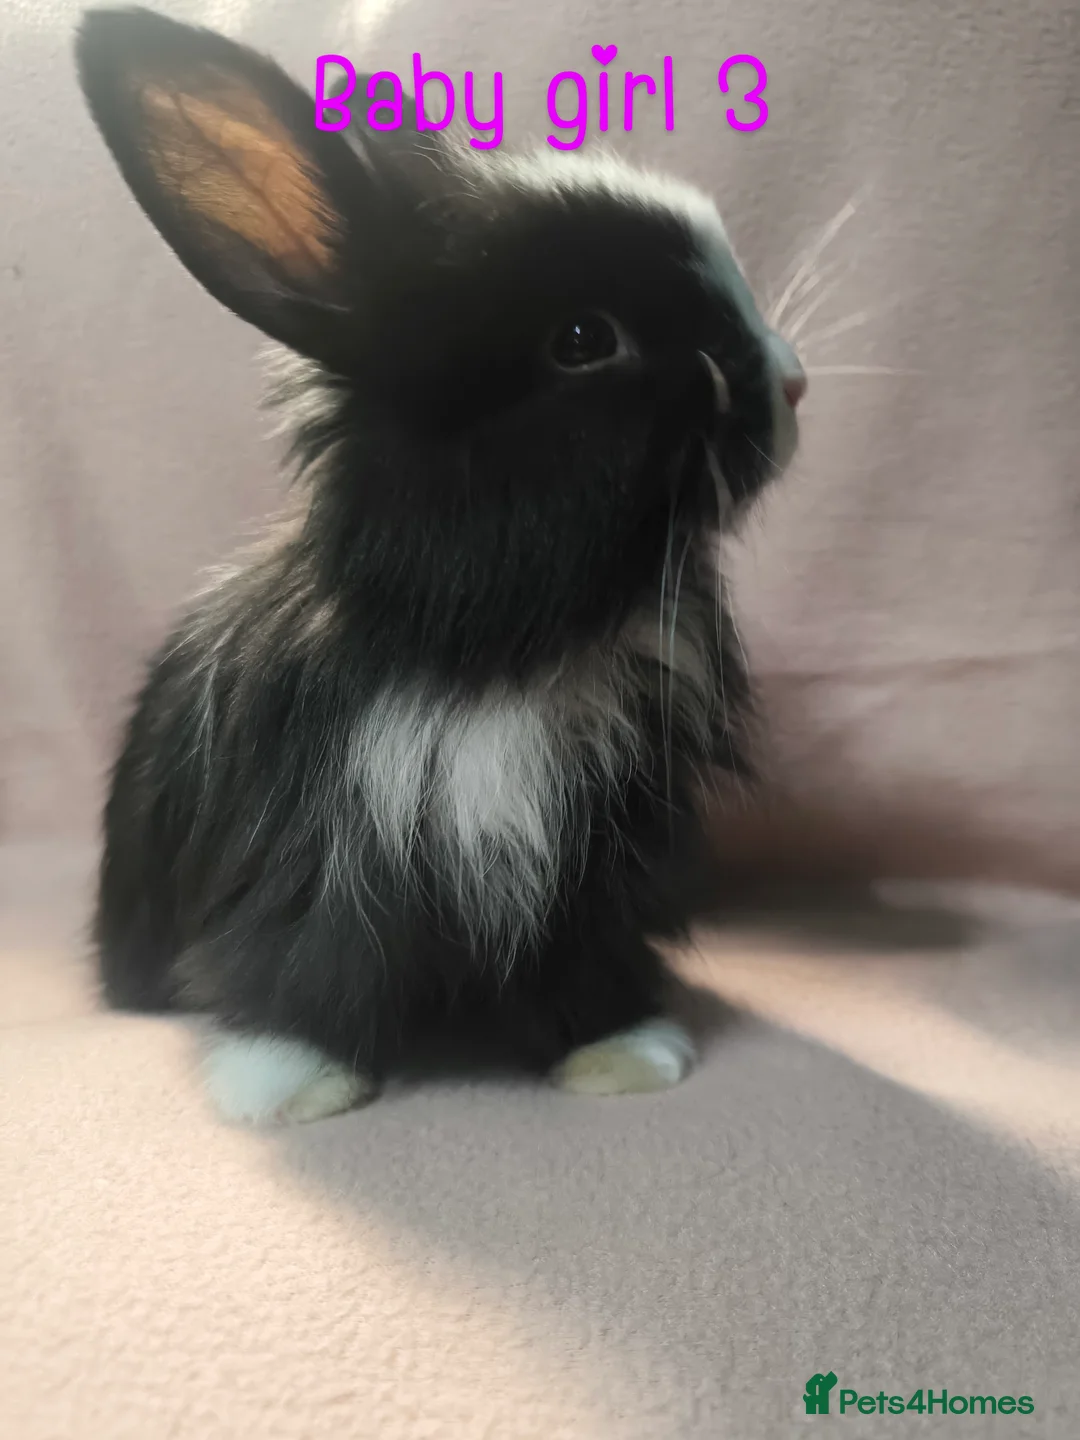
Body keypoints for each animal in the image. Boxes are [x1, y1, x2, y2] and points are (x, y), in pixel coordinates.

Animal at [75, 7, 806, 1125]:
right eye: (584, 339)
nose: (794, 382)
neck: (504, 652)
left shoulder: (595, 865)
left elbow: (587, 967)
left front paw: (624, 1056)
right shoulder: (321, 863)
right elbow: (300, 968)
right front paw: (295, 1088)